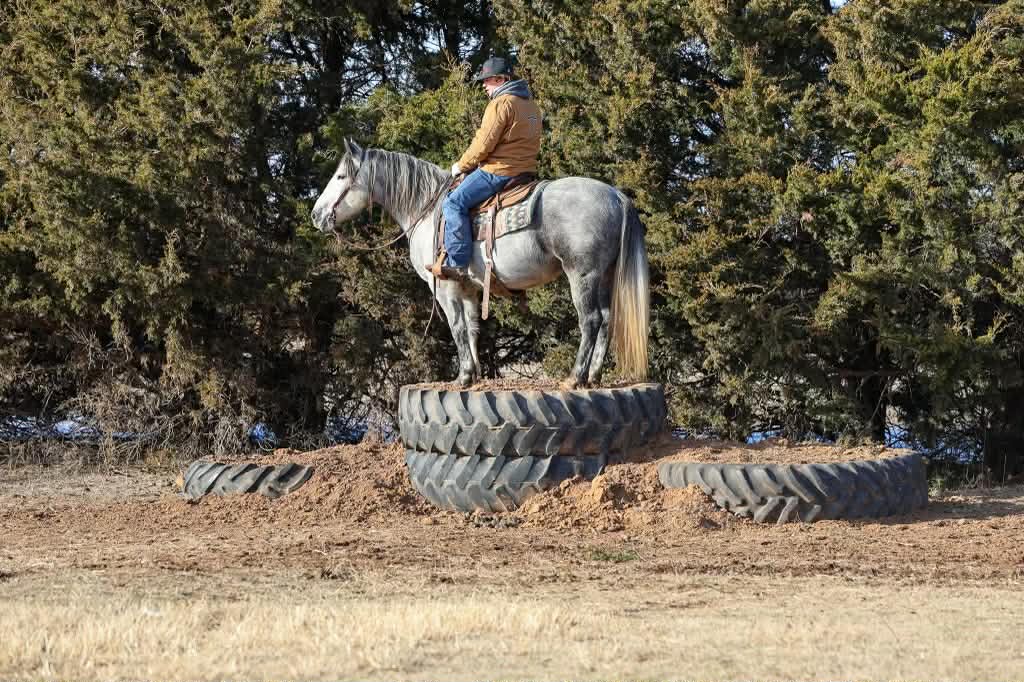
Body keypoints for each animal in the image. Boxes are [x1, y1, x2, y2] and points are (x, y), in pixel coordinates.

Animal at [310, 139, 649, 389]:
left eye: (340, 177)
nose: (316, 215)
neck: (427, 208)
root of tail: (617, 196)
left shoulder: (445, 288)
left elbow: (457, 328)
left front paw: (462, 376)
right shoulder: (468, 288)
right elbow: (472, 328)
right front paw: (474, 375)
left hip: (582, 275)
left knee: (590, 321)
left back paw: (576, 378)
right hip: (604, 276)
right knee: (606, 321)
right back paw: (594, 377)